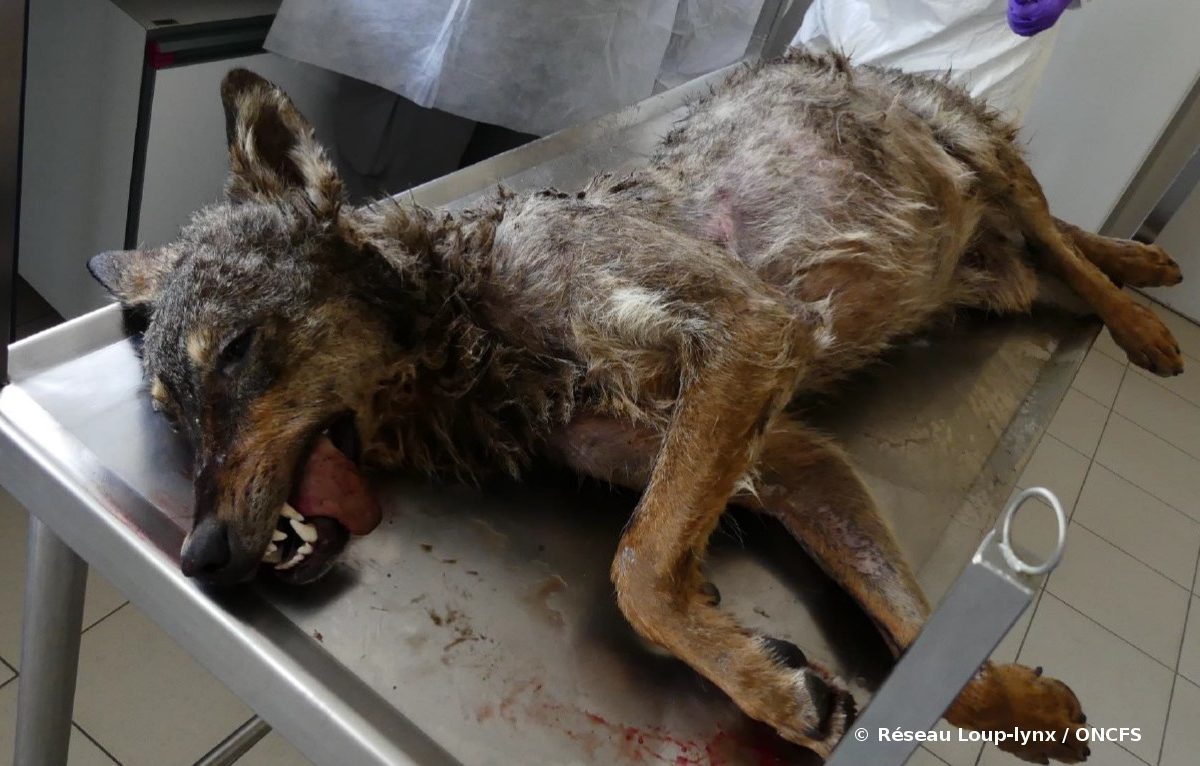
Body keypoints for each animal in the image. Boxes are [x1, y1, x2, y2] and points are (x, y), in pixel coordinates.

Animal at [88, 51, 1185, 763]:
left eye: (236, 352)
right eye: (172, 414)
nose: (200, 558)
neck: (473, 321)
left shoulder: (748, 333)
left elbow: (640, 572)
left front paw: (773, 686)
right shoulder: (786, 458)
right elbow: (919, 642)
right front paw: (1025, 707)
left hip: (984, 161)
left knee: (1066, 242)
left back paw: (1144, 309)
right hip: (988, 281)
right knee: (1052, 252)